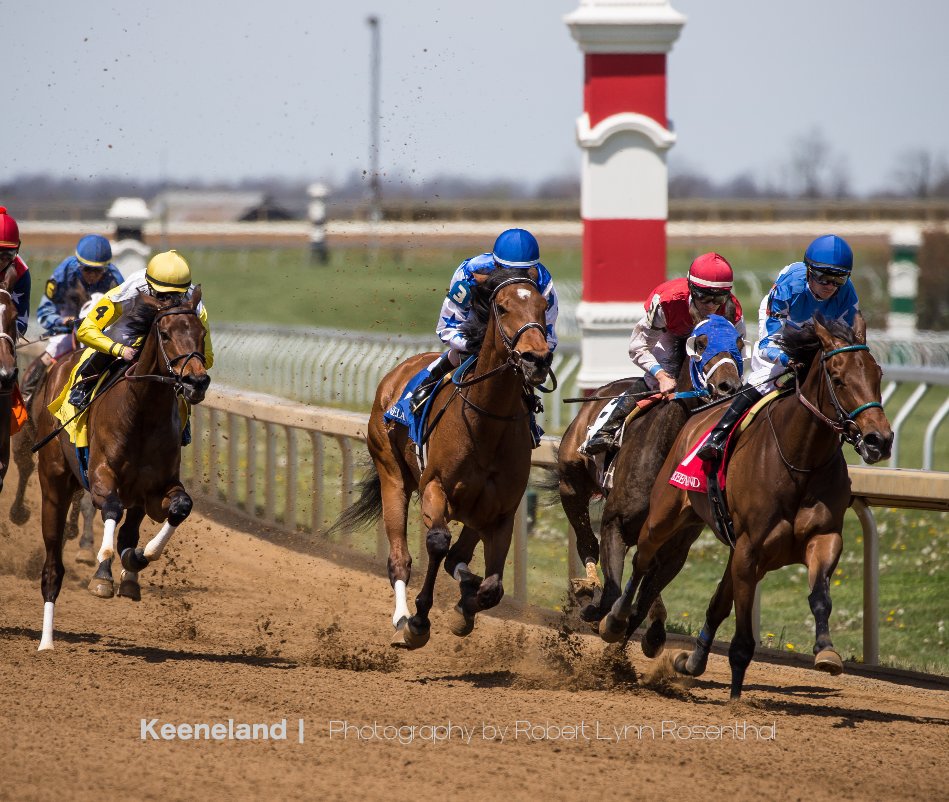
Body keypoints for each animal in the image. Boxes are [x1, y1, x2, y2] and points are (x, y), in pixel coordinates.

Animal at [35, 290, 211, 648]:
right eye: (166, 334)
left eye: (201, 332)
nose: (196, 381)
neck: (142, 412)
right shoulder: (101, 477)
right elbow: (110, 512)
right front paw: (102, 571)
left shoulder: (155, 489)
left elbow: (179, 508)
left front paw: (141, 557)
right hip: (54, 484)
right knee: (53, 566)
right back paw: (46, 642)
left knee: (129, 531)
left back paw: (129, 573)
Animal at [326, 266, 552, 648]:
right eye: (502, 307)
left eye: (542, 306)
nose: (536, 358)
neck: (486, 422)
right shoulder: (435, 487)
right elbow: (437, 542)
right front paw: (419, 620)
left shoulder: (501, 511)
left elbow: (493, 589)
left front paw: (463, 610)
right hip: (392, 475)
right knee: (402, 558)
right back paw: (402, 617)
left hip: (476, 514)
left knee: (458, 559)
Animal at [556, 314, 748, 648]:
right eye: (700, 343)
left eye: (738, 343)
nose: (728, 387)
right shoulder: (615, 525)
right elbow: (613, 594)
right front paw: (598, 611)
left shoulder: (676, 548)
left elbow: (640, 603)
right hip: (571, 485)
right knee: (586, 541)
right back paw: (587, 586)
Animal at [596, 316, 892, 696]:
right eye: (837, 378)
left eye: (877, 374)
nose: (879, 440)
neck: (801, 461)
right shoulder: (750, 549)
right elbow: (741, 639)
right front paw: (737, 699)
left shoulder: (822, 539)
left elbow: (819, 597)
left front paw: (826, 652)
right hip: (664, 516)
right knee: (642, 559)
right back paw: (615, 619)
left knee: (711, 600)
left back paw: (687, 658)